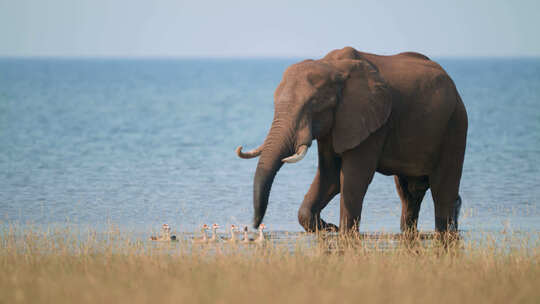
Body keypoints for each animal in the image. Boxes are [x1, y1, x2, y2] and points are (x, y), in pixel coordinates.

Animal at [236, 47, 468, 233]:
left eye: (314, 103)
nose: (254, 225)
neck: (331, 66)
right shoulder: (334, 125)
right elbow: (330, 175)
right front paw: (328, 228)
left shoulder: (373, 123)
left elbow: (354, 177)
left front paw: (343, 231)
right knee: (409, 192)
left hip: (455, 125)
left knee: (442, 189)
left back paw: (447, 228)